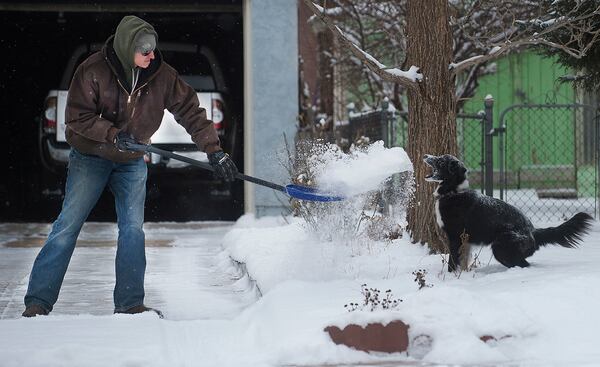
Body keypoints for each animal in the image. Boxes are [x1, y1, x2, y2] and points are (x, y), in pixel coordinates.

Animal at [424, 154, 592, 272]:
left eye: (441, 161)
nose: (425, 155)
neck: (453, 192)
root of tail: (533, 232)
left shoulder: (455, 237)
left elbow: (453, 261)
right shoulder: (466, 242)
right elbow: (464, 261)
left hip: (500, 248)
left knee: (523, 264)